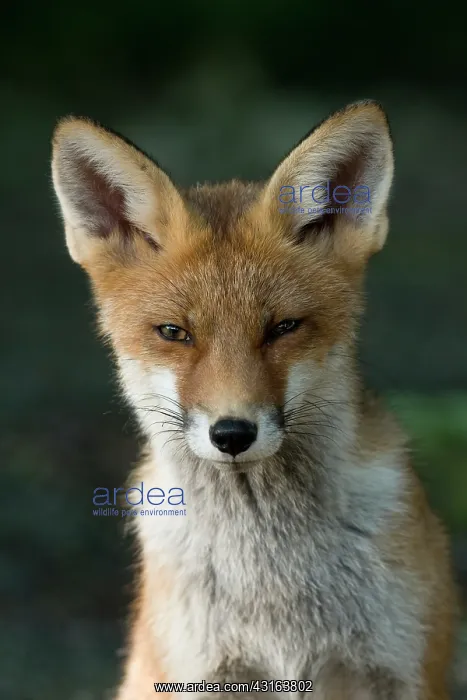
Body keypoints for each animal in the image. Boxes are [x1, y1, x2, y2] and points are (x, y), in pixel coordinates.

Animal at [52, 101, 456, 699]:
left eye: (282, 328)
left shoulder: (404, 671)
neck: (272, 586)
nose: (232, 434)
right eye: (174, 333)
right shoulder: (203, 674)